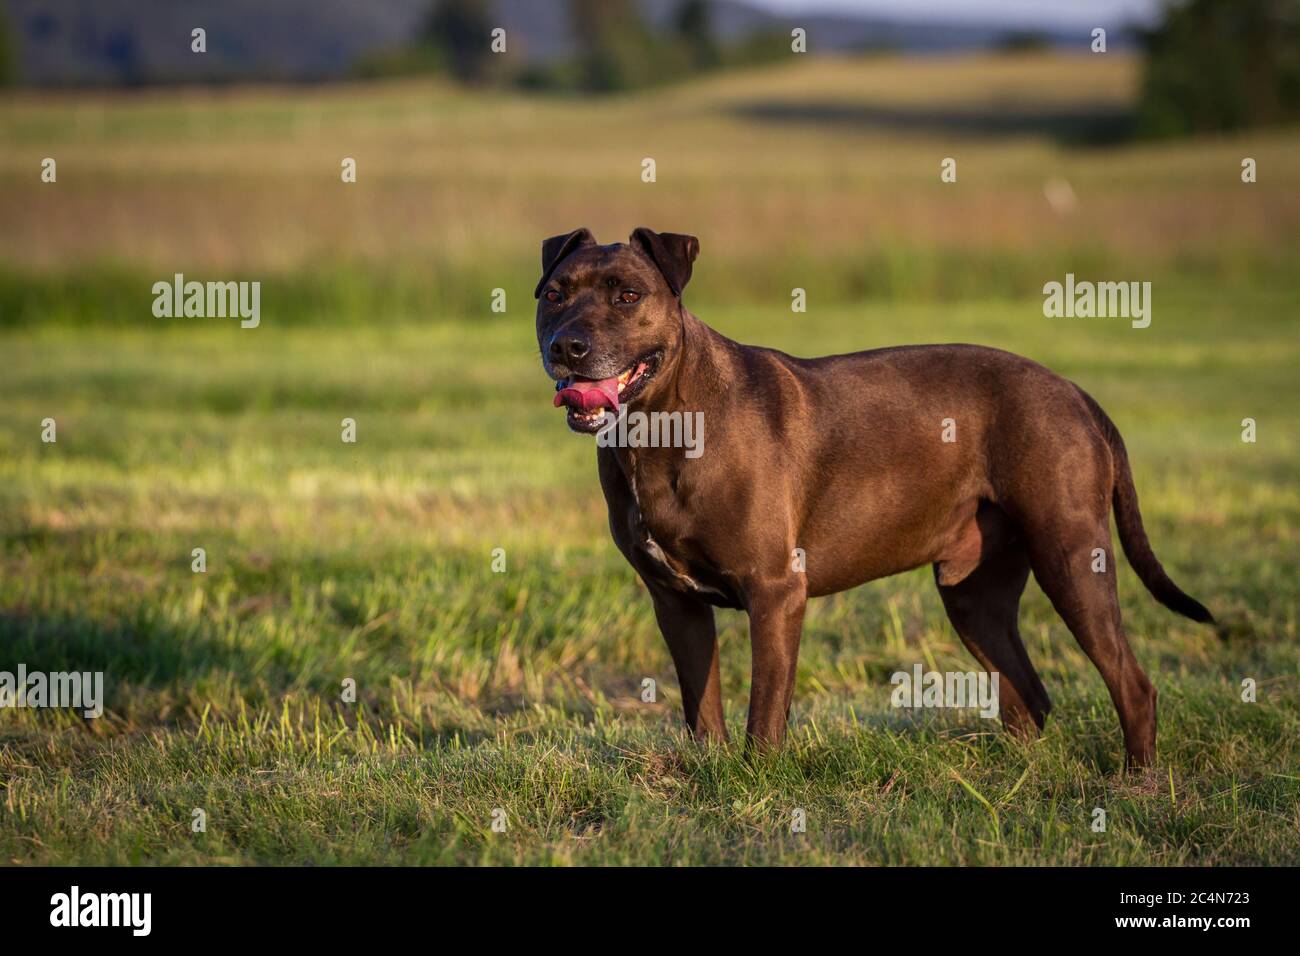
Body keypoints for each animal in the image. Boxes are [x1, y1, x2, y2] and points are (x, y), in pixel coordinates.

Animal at [533, 226, 1211, 770]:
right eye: (554, 295)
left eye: (627, 295)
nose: (566, 345)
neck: (662, 428)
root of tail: (1074, 392)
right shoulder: (676, 603)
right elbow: (703, 710)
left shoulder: (775, 592)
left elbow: (764, 716)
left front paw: (756, 784)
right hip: (975, 597)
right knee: (1028, 697)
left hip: (1071, 558)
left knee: (1132, 684)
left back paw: (1137, 785)